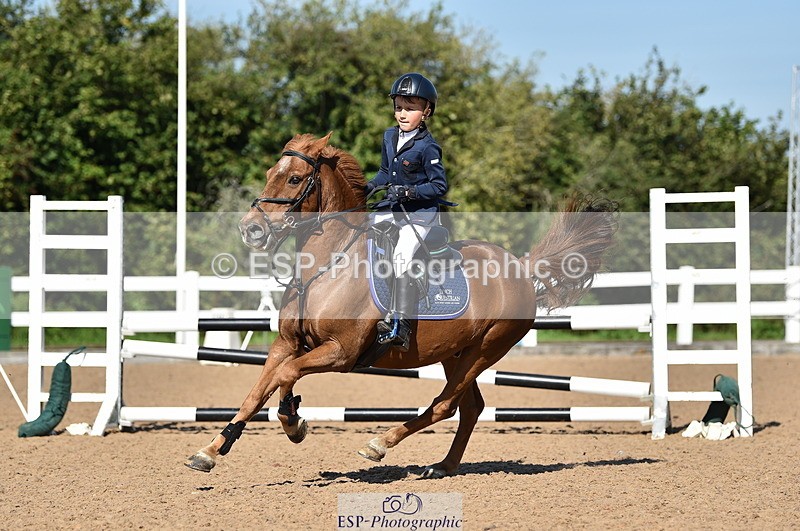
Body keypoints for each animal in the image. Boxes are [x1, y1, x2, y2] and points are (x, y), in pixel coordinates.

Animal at [185, 132, 618, 478]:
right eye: (269, 173)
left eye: (293, 178)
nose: (251, 230)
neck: (327, 264)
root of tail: (521, 268)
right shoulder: (286, 344)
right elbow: (259, 389)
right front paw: (212, 450)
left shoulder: (341, 352)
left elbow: (287, 375)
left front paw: (293, 422)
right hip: (455, 352)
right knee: (471, 407)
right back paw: (442, 466)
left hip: (486, 348)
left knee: (446, 405)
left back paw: (381, 444)